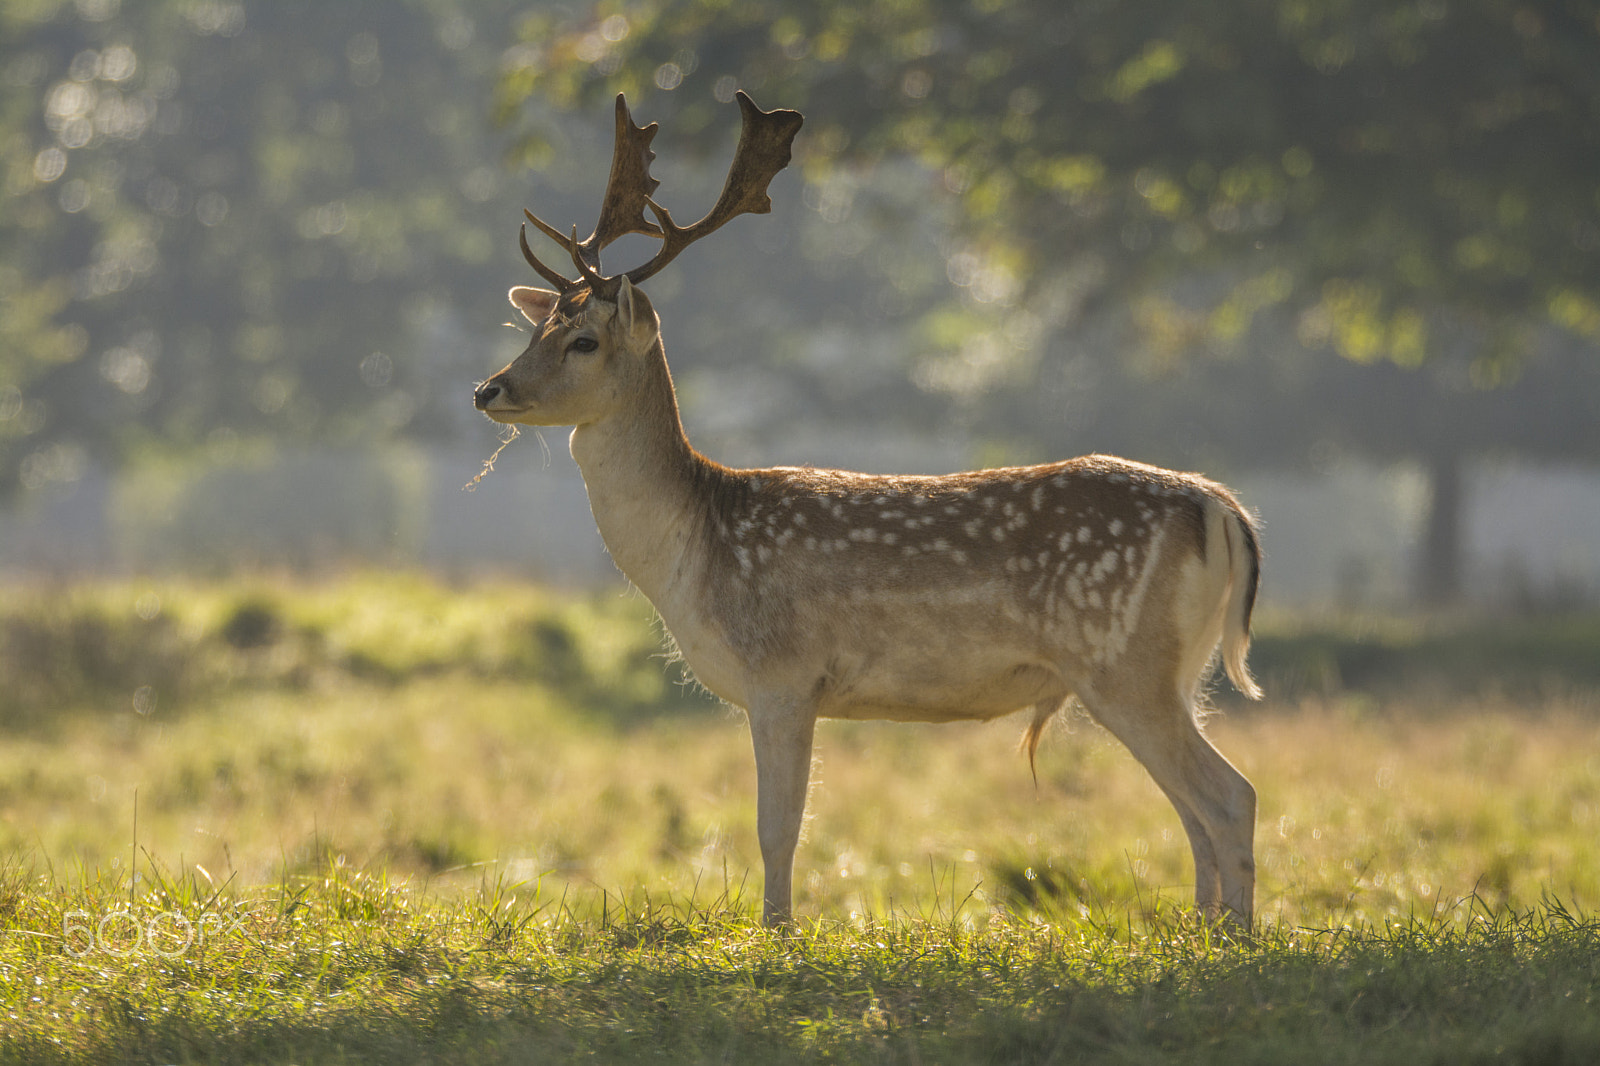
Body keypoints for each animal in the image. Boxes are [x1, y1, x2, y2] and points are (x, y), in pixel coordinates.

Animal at [473, 92, 1264, 928]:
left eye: (585, 341)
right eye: (534, 328)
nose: (489, 389)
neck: (695, 549)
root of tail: (1221, 508)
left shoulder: (783, 672)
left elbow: (778, 826)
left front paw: (777, 932)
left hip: (1124, 659)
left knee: (1230, 796)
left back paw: (1236, 939)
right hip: (1175, 670)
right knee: (1194, 808)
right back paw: (1202, 930)